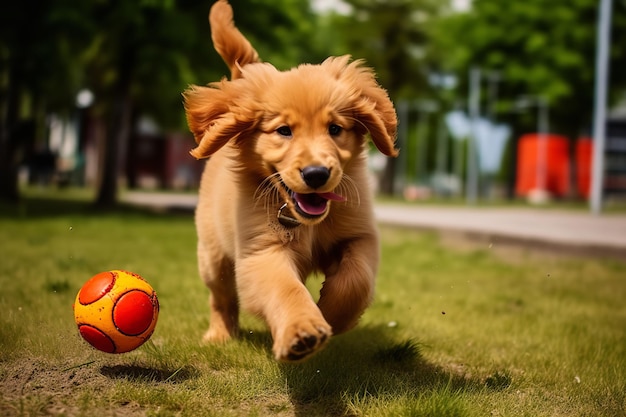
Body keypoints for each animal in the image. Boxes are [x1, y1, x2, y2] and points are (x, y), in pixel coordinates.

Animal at [184, 0, 394, 360]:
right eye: (284, 130)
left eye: (334, 129)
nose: (316, 174)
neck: (308, 223)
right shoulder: (260, 251)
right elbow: (285, 289)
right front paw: (301, 331)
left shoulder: (360, 234)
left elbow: (356, 280)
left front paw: (331, 314)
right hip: (212, 255)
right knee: (221, 297)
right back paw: (219, 335)